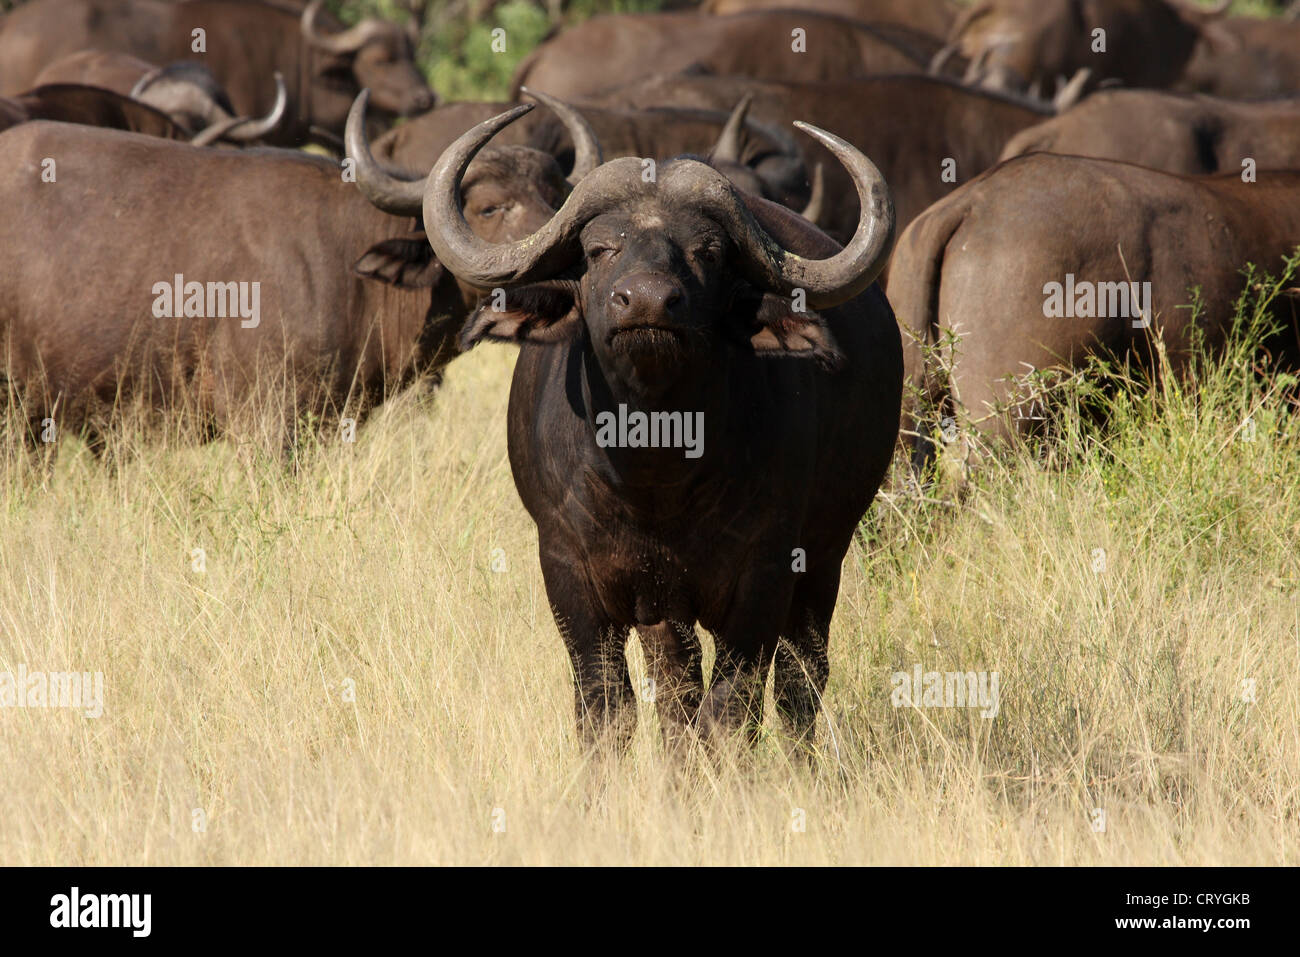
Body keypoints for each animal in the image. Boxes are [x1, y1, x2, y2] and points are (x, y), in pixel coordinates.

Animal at [421, 106, 899, 748]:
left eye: (707, 252)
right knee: (677, 690)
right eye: (600, 249)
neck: (652, 471)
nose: (646, 301)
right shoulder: (572, 575)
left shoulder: (765, 576)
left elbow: (733, 709)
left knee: (801, 681)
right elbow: (609, 706)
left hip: (827, 554)